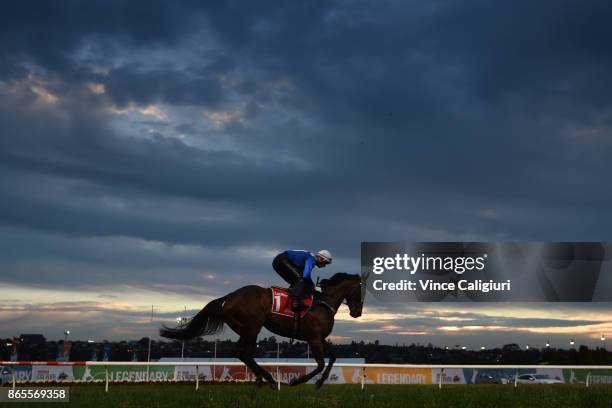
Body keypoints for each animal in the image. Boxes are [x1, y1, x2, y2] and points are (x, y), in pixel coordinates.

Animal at [160, 272, 366, 388]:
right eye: (361, 292)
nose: (357, 312)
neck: (323, 303)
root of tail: (229, 297)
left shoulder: (320, 338)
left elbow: (333, 357)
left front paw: (321, 382)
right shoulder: (314, 338)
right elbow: (321, 363)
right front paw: (297, 381)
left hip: (246, 329)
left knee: (242, 353)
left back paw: (263, 379)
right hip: (252, 327)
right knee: (242, 352)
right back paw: (270, 380)